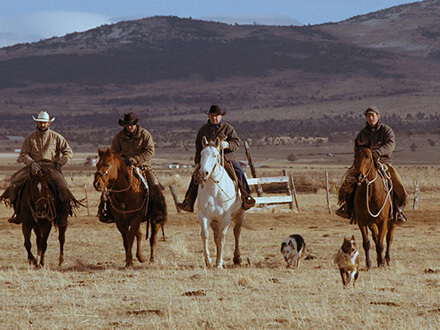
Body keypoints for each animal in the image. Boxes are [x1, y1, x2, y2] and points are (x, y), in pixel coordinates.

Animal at [197, 137, 244, 268]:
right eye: (201, 154)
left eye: (215, 155)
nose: (203, 173)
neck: (214, 190)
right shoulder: (204, 215)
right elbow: (205, 234)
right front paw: (208, 260)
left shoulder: (225, 217)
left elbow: (222, 238)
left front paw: (219, 263)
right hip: (215, 221)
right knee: (216, 237)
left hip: (240, 215)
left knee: (237, 233)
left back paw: (237, 258)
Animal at [354, 141, 396, 270]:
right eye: (355, 156)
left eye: (369, 157)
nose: (359, 176)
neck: (371, 193)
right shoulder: (362, 221)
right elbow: (367, 243)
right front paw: (368, 263)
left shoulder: (383, 221)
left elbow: (381, 243)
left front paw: (382, 263)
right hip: (372, 222)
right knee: (376, 237)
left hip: (392, 221)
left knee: (388, 238)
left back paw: (386, 259)